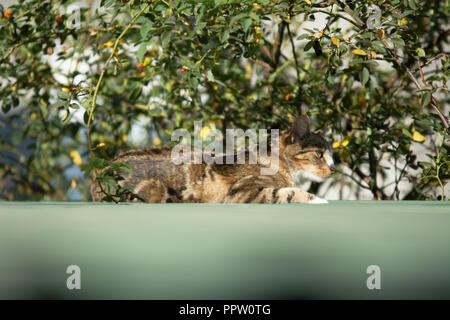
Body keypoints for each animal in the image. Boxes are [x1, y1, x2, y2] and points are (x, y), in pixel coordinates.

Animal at [90, 115, 334, 205]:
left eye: (331, 155)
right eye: (319, 154)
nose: (334, 168)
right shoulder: (242, 193)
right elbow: (285, 193)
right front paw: (317, 199)